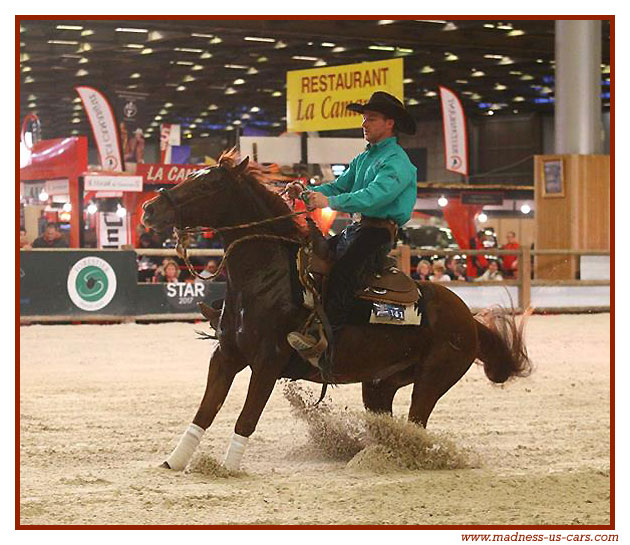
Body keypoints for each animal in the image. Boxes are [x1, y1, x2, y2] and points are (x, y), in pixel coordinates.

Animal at [142, 150, 532, 472]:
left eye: (208, 184)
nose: (149, 209)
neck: (266, 278)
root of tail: (470, 319)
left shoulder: (268, 363)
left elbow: (246, 419)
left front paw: (229, 468)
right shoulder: (225, 356)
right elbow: (205, 411)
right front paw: (174, 461)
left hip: (431, 381)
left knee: (416, 425)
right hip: (379, 386)